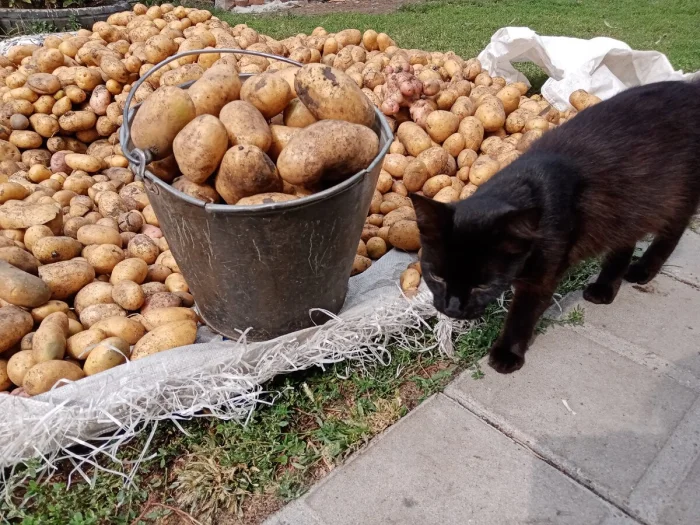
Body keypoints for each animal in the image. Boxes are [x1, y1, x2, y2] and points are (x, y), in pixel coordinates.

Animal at [410, 80, 700, 374]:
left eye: (483, 286)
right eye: (436, 277)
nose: (452, 309)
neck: (523, 186)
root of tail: (692, 87)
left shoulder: (542, 277)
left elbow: (522, 313)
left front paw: (506, 353)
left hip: (675, 197)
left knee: (671, 233)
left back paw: (642, 270)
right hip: (626, 209)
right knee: (624, 241)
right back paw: (604, 289)